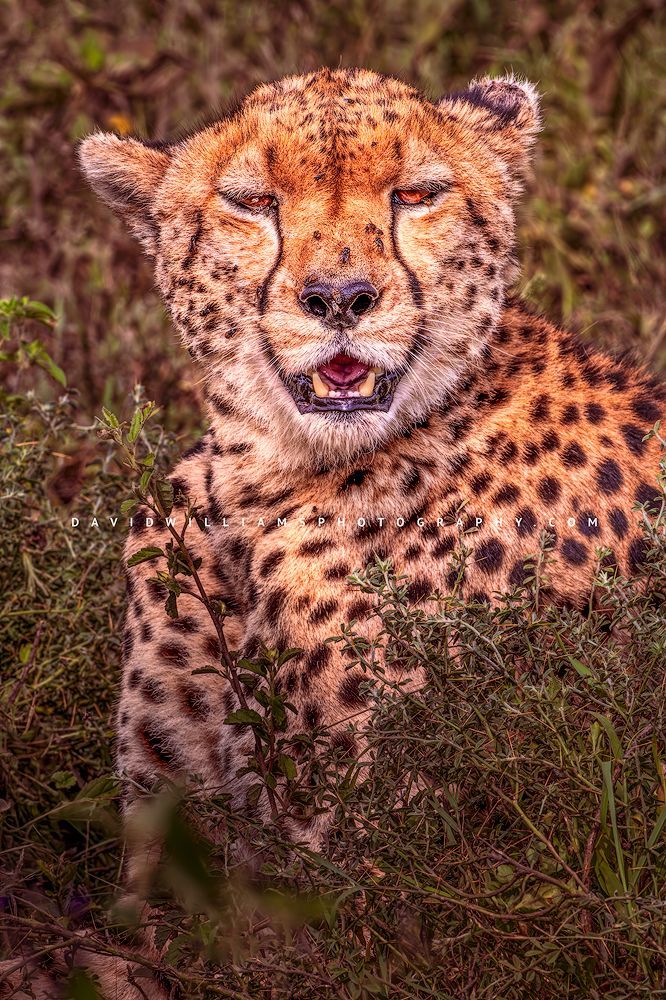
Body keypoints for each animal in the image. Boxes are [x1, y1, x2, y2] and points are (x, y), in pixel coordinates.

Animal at [6, 67, 663, 999]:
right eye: (253, 202)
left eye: (417, 194)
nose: (340, 301)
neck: (259, 480)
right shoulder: (173, 835)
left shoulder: (370, 897)